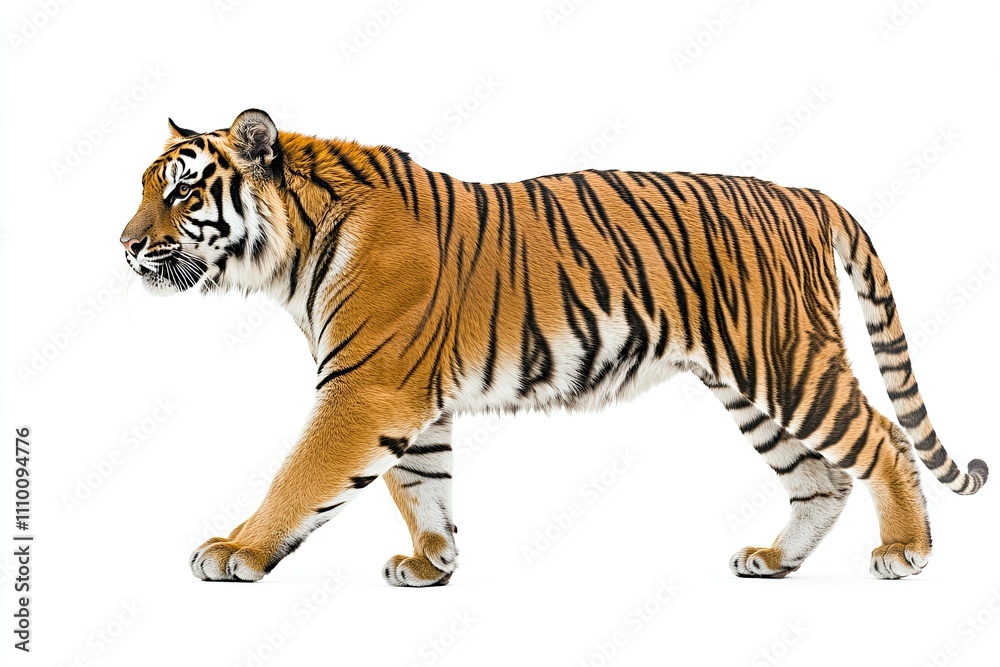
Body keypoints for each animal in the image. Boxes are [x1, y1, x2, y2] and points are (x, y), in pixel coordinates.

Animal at [121, 108, 988, 585]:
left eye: (184, 192)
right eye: (144, 188)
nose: (124, 246)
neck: (292, 253)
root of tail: (805, 193)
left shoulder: (365, 388)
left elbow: (300, 477)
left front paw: (236, 549)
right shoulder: (408, 398)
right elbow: (420, 485)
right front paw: (432, 563)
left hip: (788, 361)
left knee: (884, 442)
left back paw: (905, 550)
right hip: (749, 386)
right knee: (819, 478)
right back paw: (776, 561)